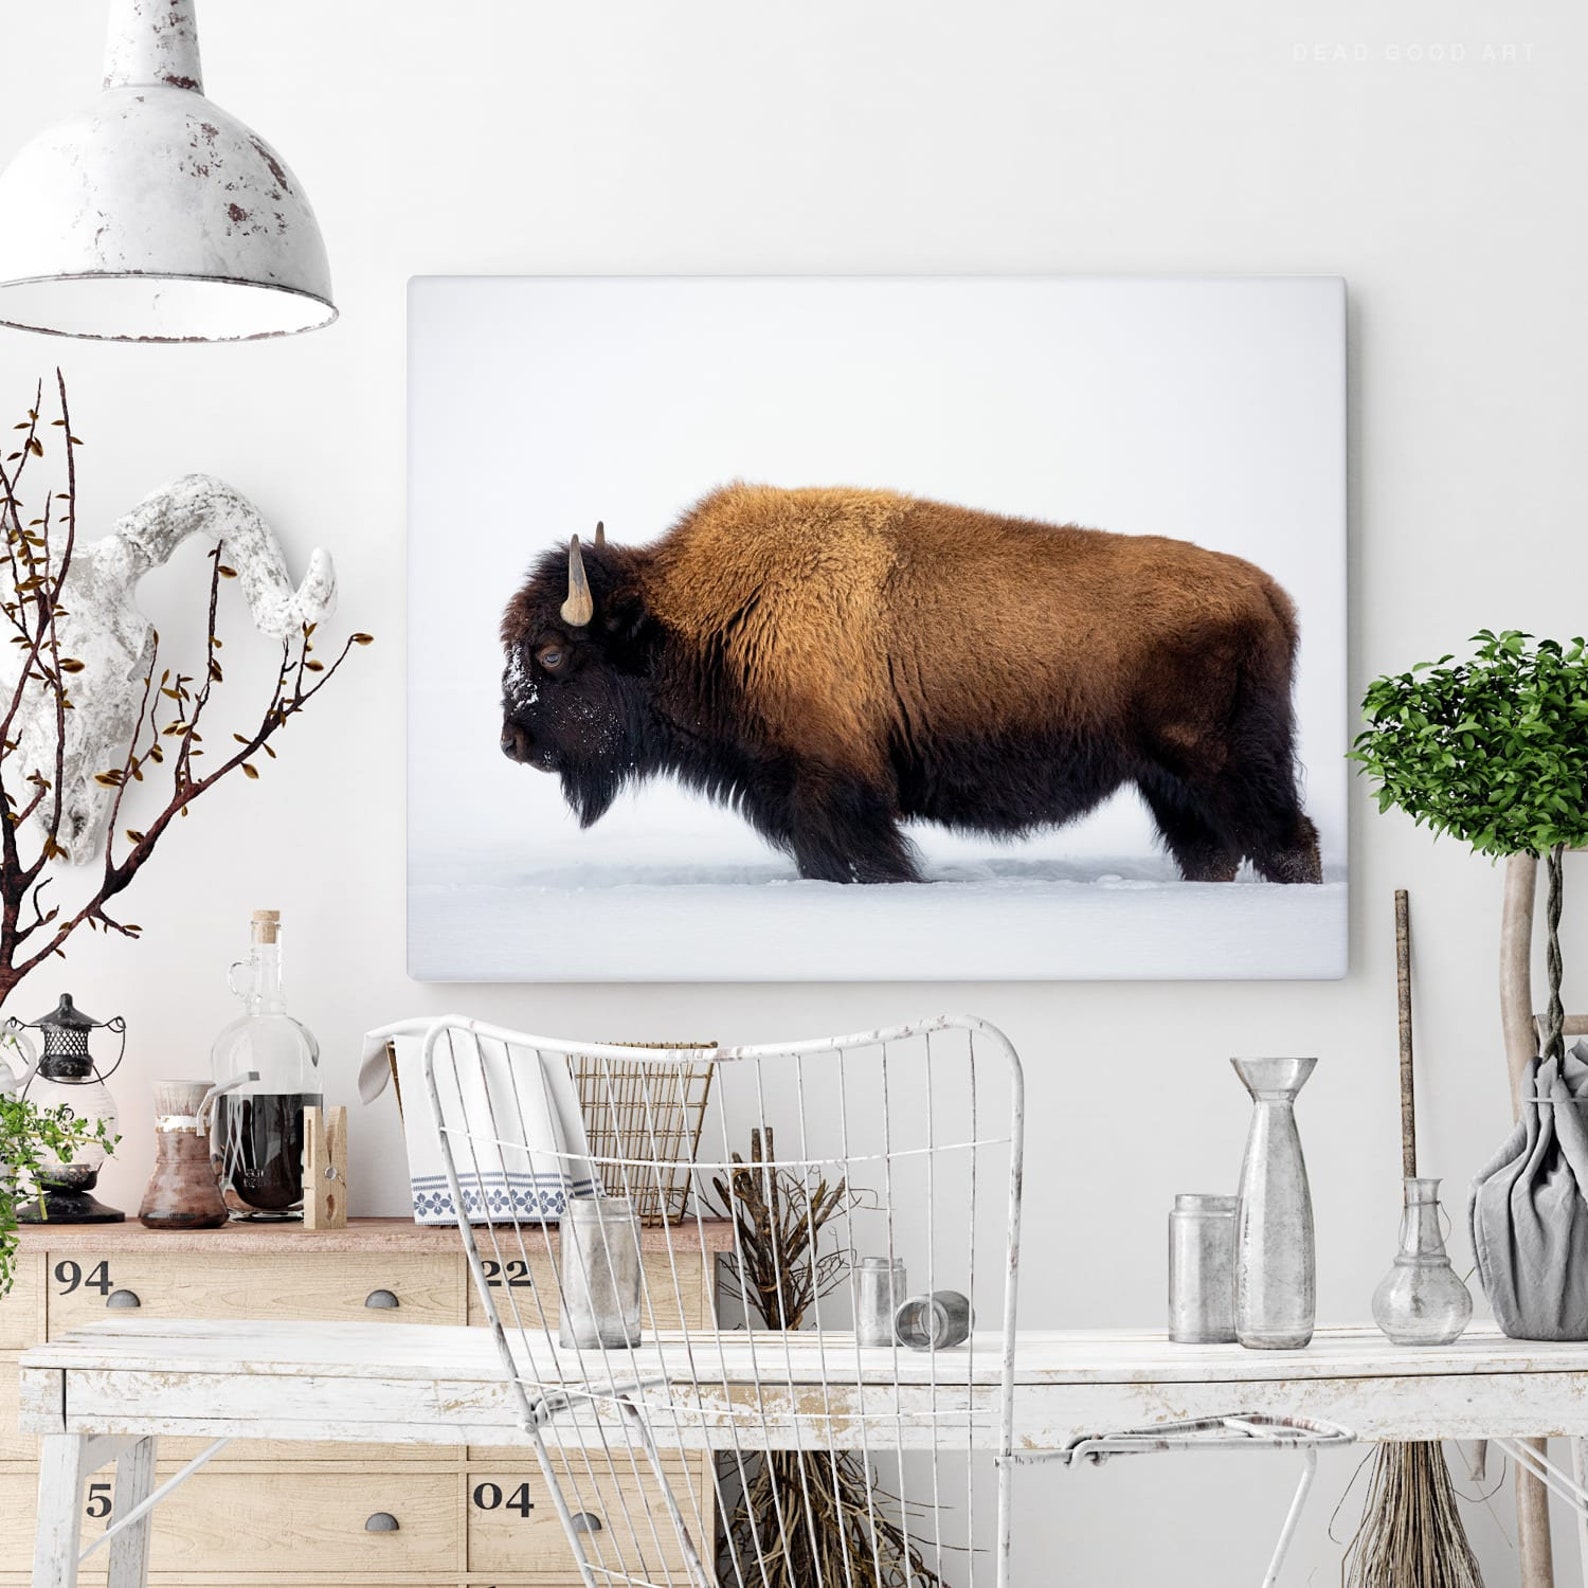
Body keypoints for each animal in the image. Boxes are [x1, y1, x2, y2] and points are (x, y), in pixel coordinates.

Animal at [499, 484, 1322, 886]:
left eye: (550, 654)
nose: (512, 742)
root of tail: (1269, 593)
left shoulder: (837, 789)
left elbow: (875, 862)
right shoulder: (797, 799)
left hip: (1228, 767)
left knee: (1288, 842)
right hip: (1172, 784)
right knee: (1213, 854)